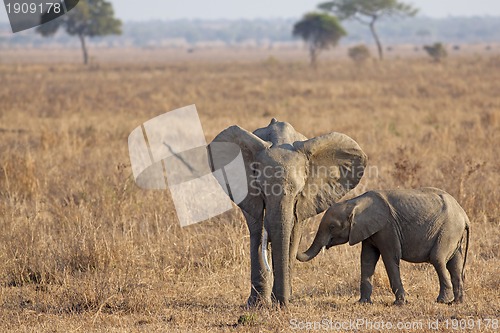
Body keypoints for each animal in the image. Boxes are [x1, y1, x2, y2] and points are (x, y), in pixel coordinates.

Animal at [208, 118, 368, 304]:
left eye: (298, 194)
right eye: (262, 192)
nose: (282, 302)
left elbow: (292, 235)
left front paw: (281, 301)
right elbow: (259, 233)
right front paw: (260, 304)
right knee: (256, 232)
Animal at [298, 187, 470, 304]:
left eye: (332, 227)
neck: (356, 202)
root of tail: (464, 216)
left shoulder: (387, 228)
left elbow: (390, 258)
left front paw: (399, 303)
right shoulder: (368, 230)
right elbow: (367, 259)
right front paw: (362, 303)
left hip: (448, 230)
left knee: (437, 259)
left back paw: (442, 301)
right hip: (453, 233)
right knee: (455, 263)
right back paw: (456, 302)